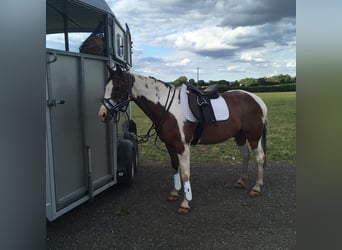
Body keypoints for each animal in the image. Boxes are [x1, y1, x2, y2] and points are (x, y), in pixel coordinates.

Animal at [97, 65, 268, 214]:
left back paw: (257, 187)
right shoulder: (170, 145)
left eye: (118, 86)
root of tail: (256, 99)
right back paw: (241, 181)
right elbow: (175, 167)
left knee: (259, 157)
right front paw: (174, 193)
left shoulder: (182, 146)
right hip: (240, 136)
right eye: (106, 86)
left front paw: (185, 203)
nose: (102, 114)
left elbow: (185, 172)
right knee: (246, 156)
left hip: (254, 136)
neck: (167, 108)